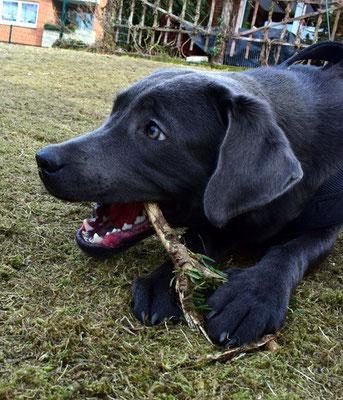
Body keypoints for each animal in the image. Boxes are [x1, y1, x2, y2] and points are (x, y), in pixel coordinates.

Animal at [36, 42, 343, 346]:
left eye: (153, 130)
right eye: (114, 111)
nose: (43, 160)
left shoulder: (325, 224)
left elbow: (292, 251)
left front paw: (252, 294)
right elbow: (194, 241)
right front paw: (163, 280)